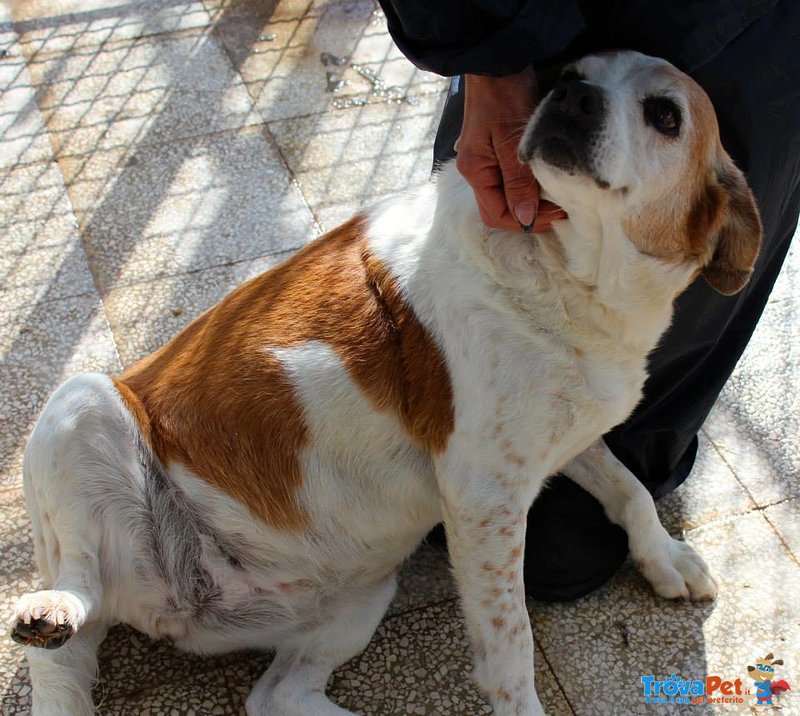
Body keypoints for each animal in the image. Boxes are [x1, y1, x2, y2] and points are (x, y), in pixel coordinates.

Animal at [10, 51, 764, 716]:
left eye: (665, 114)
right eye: (566, 73)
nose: (568, 96)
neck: (566, 275)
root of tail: (167, 608)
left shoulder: (562, 438)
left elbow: (631, 489)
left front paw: (664, 556)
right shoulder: (483, 495)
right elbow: (512, 647)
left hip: (360, 594)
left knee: (275, 697)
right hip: (81, 404)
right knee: (74, 596)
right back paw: (54, 608)